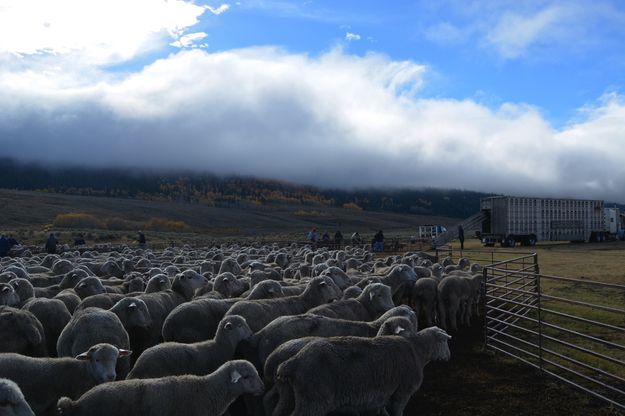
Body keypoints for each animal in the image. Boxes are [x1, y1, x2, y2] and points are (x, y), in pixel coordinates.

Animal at [272, 326, 448, 414]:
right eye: (446, 341)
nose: (448, 356)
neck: (419, 350)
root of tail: (293, 362)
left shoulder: (385, 394)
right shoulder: (402, 392)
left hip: (289, 396)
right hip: (314, 399)